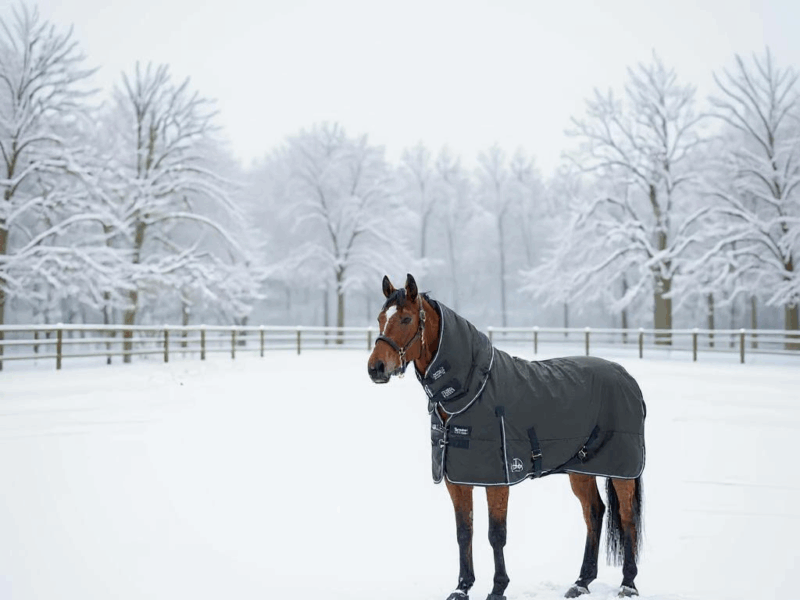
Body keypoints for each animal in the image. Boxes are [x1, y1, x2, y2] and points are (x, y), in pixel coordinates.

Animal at [367, 274, 646, 600]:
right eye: (380, 318)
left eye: (407, 319)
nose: (375, 368)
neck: (473, 391)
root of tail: (627, 378)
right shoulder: (456, 480)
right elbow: (465, 532)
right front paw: (462, 587)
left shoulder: (498, 480)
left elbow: (496, 534)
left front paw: (498, 588)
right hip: (581, 469)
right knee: (594, 513)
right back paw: (581, 582)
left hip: (622, 472)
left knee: (627, 519)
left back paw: (628, 584)